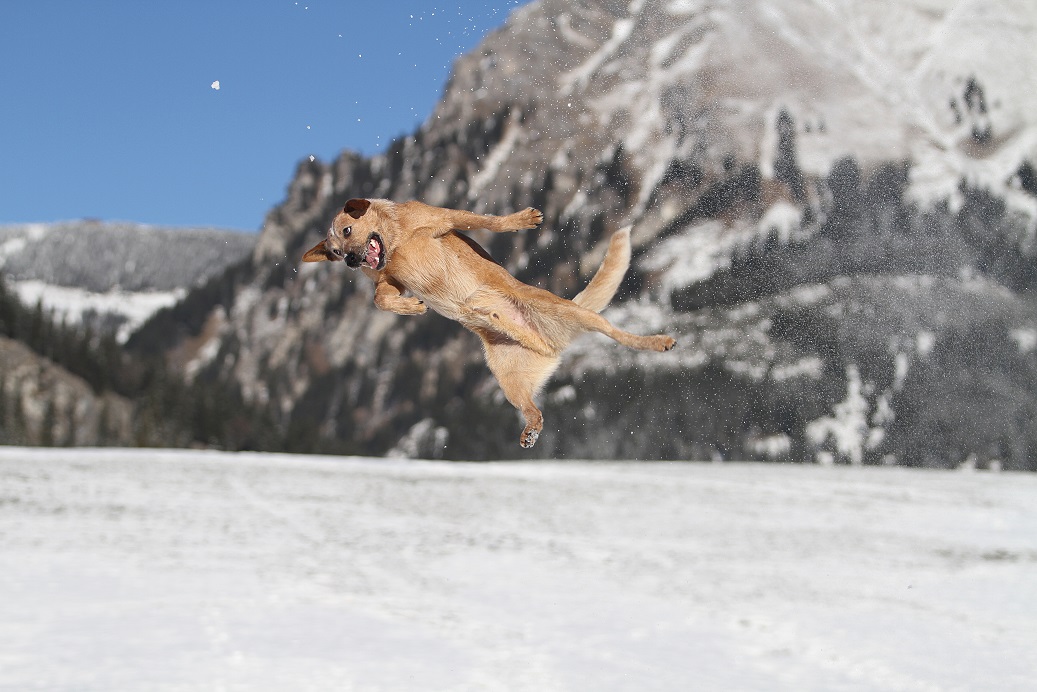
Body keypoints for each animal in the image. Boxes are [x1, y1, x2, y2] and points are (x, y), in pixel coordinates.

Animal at [302, 200, 671, 450]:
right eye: (336, 252)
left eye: (348, 230)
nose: (351, 260)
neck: (396, 242)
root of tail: (548, 343)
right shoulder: (390, 280)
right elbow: (381, 299)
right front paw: (411, 307)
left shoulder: (446, 218)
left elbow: (490, 222)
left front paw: (522, 219)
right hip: (508, 380)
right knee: (535, 410)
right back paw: (529, 432)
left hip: (569, 312)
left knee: (616, 332)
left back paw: (658, 341)